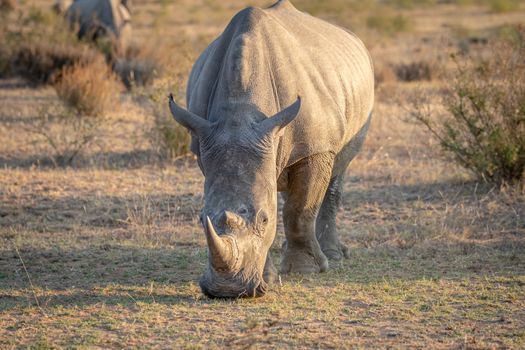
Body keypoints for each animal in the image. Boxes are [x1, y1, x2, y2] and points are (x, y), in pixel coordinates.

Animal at [168, 0, 372, 298]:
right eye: (200, 219)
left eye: (264, 220)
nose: (228, 290)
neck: (239, 112)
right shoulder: (207, 143)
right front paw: (269, 277)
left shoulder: (315, 148)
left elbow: (300, 210)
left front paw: (305, 270)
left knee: (338, 168)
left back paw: (334, 255)